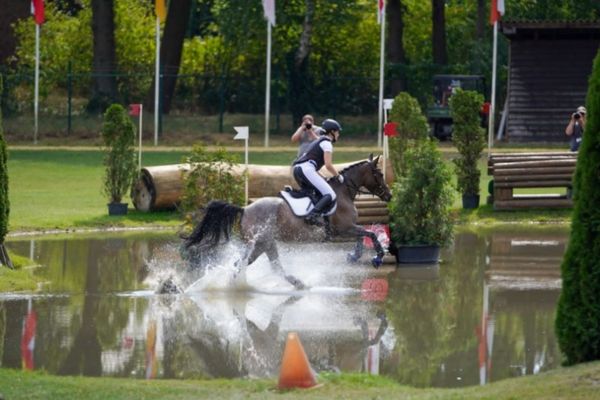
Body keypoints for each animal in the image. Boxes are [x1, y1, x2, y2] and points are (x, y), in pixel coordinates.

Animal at [180, 155, 392, 290]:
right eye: (380, 175)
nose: (389, 195)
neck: (343, 192)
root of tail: (245, 209)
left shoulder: (348, 230)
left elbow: (364, 235)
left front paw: (354, 256)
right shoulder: (344, 228)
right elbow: (370, 234)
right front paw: (377, 258)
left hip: (266, 244)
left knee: (266, 266)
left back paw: (297, 284)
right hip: (259, 243)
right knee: (243, 264)